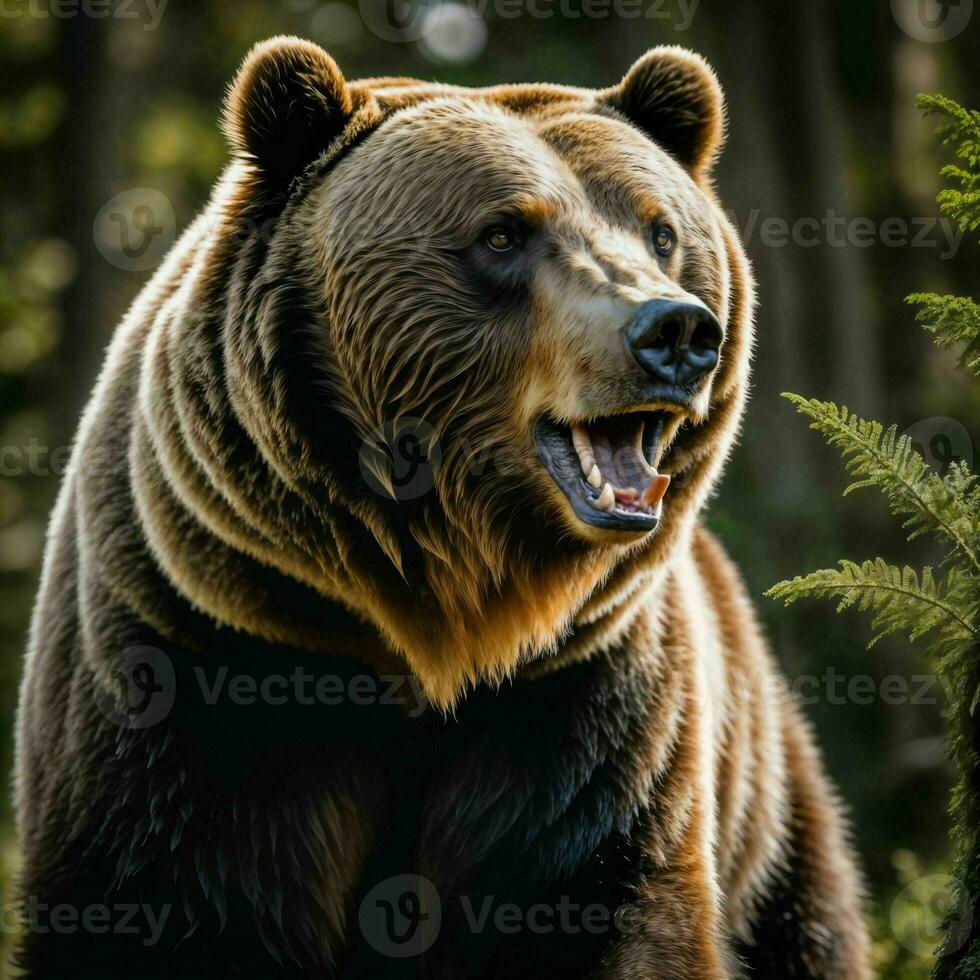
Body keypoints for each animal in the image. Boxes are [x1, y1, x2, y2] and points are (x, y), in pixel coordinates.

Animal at [13, 36, 872, 980]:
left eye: (662, 231)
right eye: (502, 232)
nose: (674, 333)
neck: (431, 619)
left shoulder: (587, 709)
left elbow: (603, 906)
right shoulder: (196, 659)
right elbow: (160, 902)